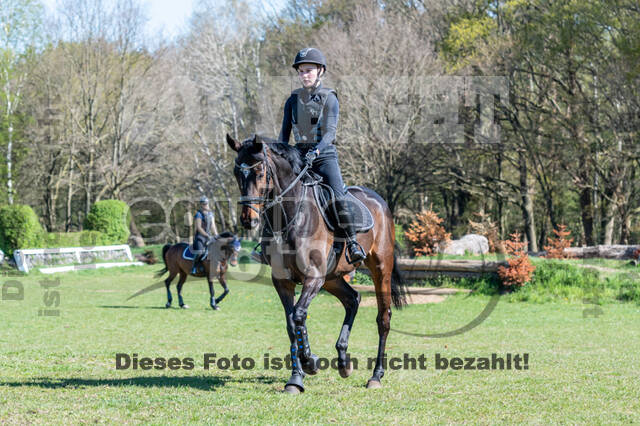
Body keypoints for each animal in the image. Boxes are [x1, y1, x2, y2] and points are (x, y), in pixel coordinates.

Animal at [226, 135, 404, 394]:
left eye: (259, 172)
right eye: (236, 173)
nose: (249, 220)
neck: (290, 215)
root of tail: (380, 201)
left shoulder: (313, 277)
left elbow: (299, 315)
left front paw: (310, 362)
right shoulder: (283, 281)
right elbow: (291, 324)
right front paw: (296, 378)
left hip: (380, 269)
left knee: (384, 317)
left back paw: (376, 376)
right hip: (332, 278)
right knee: (353, 299)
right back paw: (343, 361)